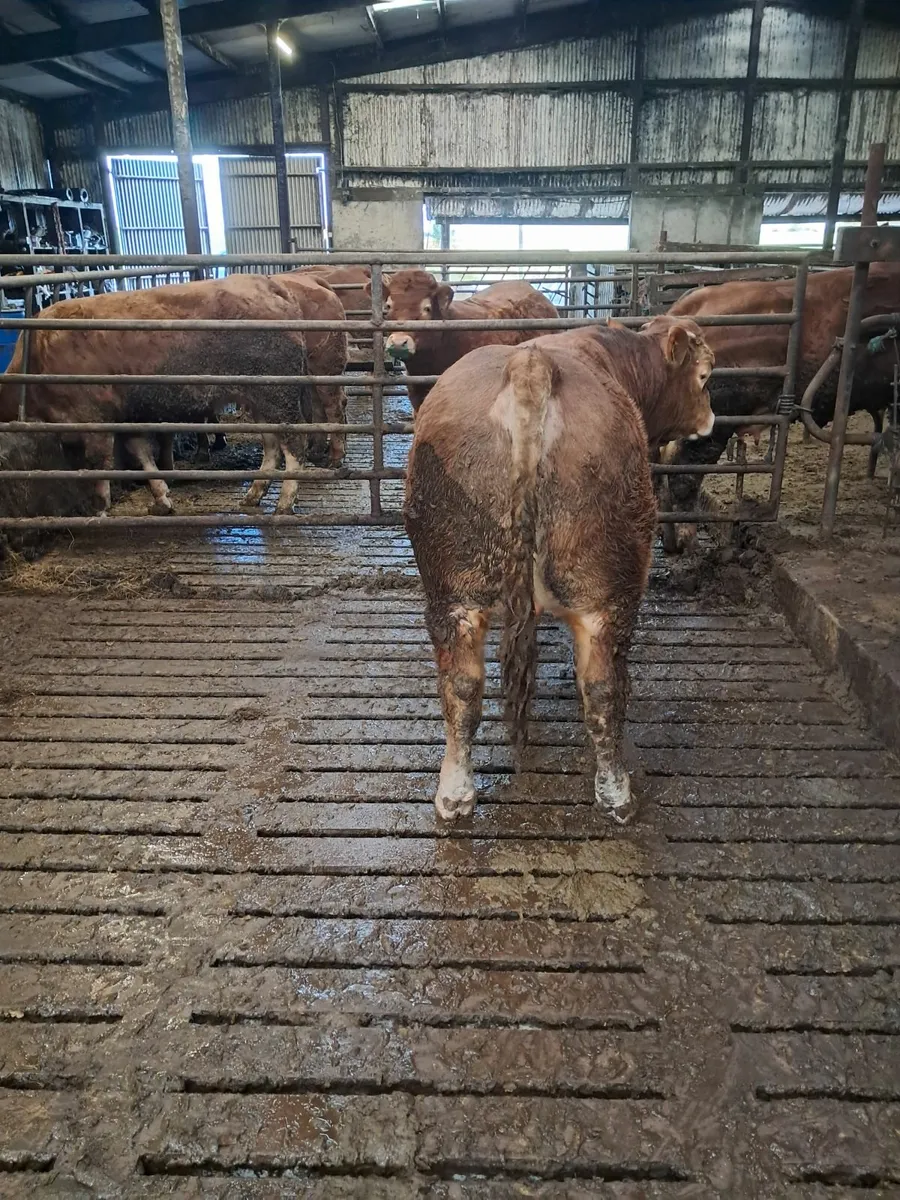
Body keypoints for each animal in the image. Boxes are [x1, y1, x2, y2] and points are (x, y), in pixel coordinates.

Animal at [0, 272, 348, 515]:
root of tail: (274, 286)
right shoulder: (129, 416)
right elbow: (141, 455)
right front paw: (161, 498)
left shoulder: (91, 417)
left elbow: (98, 462)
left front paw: (100, 506)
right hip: (259, 399)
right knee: (272, 445)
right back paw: (254, 494)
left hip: (280, 394)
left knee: (296, 442)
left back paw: (286, 501)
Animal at [404, 316, 715, 825]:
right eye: (705, 376)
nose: (710, 419)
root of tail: (530, 364)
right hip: (609, 587)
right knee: (604, 689)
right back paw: (616, 793)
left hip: (454, 588)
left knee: (462, 687)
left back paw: (454, 794)